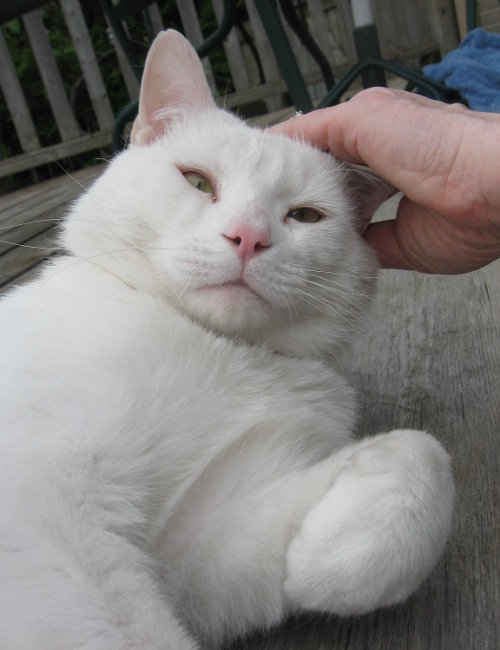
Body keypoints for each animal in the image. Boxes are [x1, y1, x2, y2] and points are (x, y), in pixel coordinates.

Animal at [0, 30, 454, 648]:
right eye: (197, 181)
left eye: (305, 216)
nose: (248, 237)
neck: (227, 350)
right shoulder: (41, 512)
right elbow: (125, 630)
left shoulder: (193, 552)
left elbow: (423, 448)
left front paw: (326, 563)